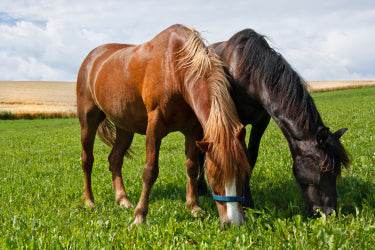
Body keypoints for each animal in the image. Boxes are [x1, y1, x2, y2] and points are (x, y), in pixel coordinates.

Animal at [76, 24, 250, 227]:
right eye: (214, 176)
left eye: (244, 173)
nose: (235, 222)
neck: (175, 68)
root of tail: (91, 58)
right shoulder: (155, 127)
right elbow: (150, 171)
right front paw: (140, 216)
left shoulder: (193, 131)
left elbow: (191, 167)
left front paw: (194, 207)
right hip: (88, 121)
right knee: (87, 160)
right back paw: (89, 201)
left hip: (124, 127)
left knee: (115, 159)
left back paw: (122, 200)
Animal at [198, 28, 352, 217]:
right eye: (323, 169)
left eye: (337, 170)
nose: (329, 212)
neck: (249, 75)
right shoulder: (235, 125)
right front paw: (247, 203)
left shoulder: (261, 122)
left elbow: (251, 157)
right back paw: (201, 188)